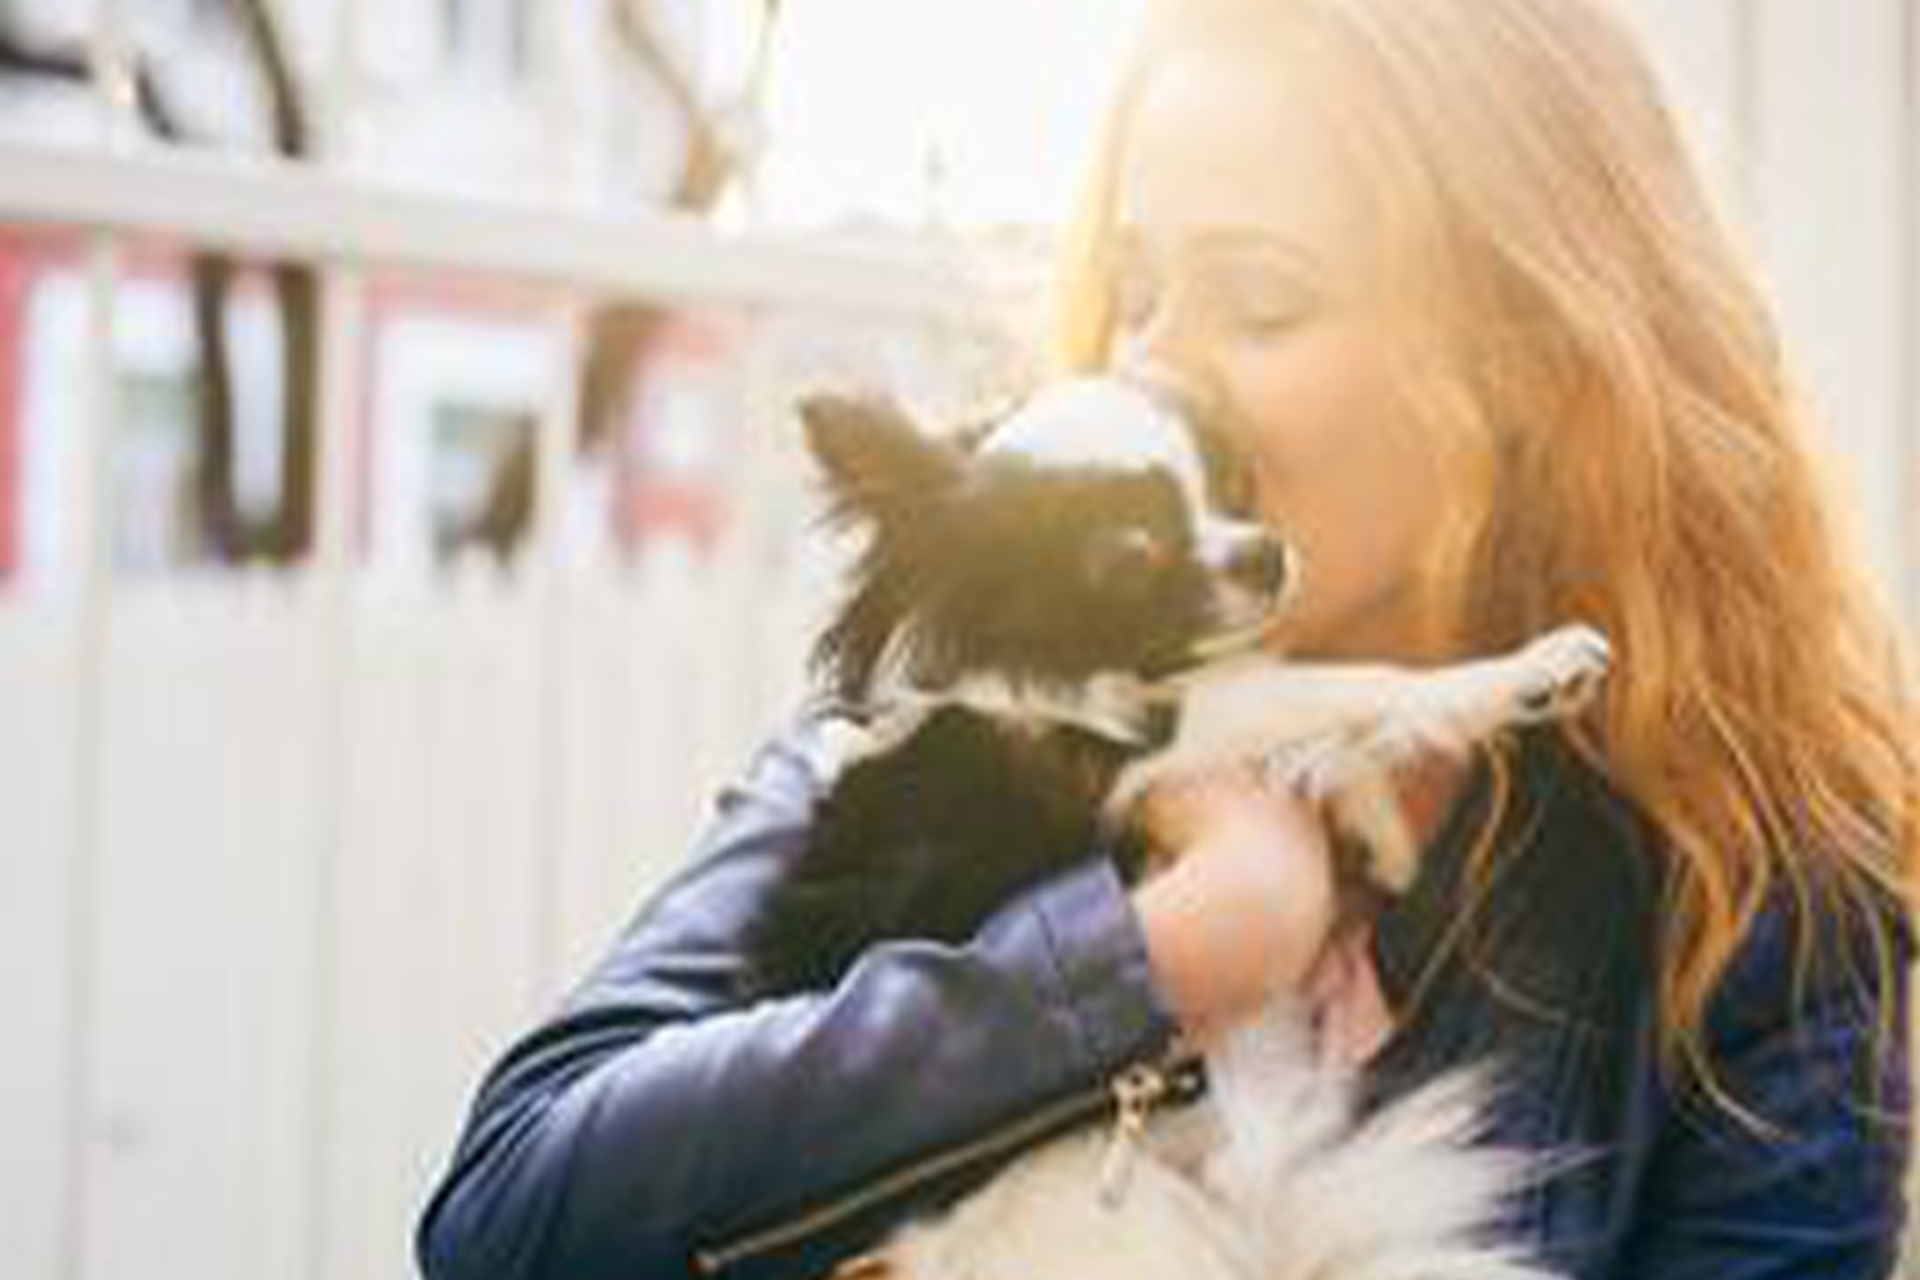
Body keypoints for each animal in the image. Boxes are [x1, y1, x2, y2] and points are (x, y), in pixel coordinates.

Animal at [752, 378, 1605, 1280]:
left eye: (1232, 487)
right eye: (1130, 561)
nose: (1265, 553)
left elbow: (1315, 723)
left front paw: (1377, 831)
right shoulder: (1150, 746)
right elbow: (1351, 685)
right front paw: (1529, 671)